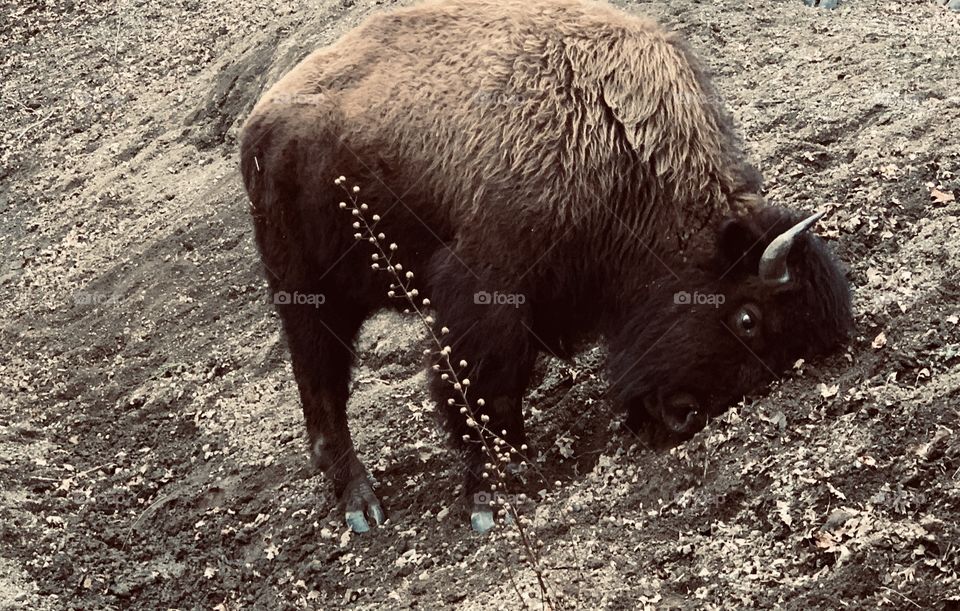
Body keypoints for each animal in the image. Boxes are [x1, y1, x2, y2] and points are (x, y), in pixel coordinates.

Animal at [240, 0, 853, 533]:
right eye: (746, 318)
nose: (684, 413)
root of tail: (260, 121)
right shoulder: (486, 291)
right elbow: (485, 385)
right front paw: (489, 498)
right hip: (309, 296)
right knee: (323, 387)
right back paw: (362, 506)